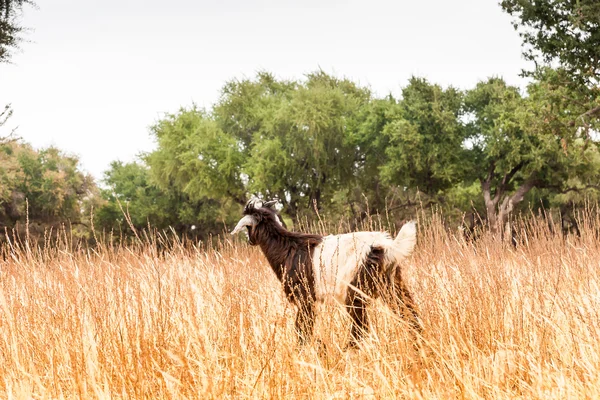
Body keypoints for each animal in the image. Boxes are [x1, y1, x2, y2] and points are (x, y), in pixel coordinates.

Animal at [231, 198, 422, 348]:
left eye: (248, 228)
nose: (250, 241)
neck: (287, 247)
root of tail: (384, 247)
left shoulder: (305, 298)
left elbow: (302, 329)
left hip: (355, 291)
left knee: (360, 328)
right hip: (392, 285)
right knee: (409, 312)